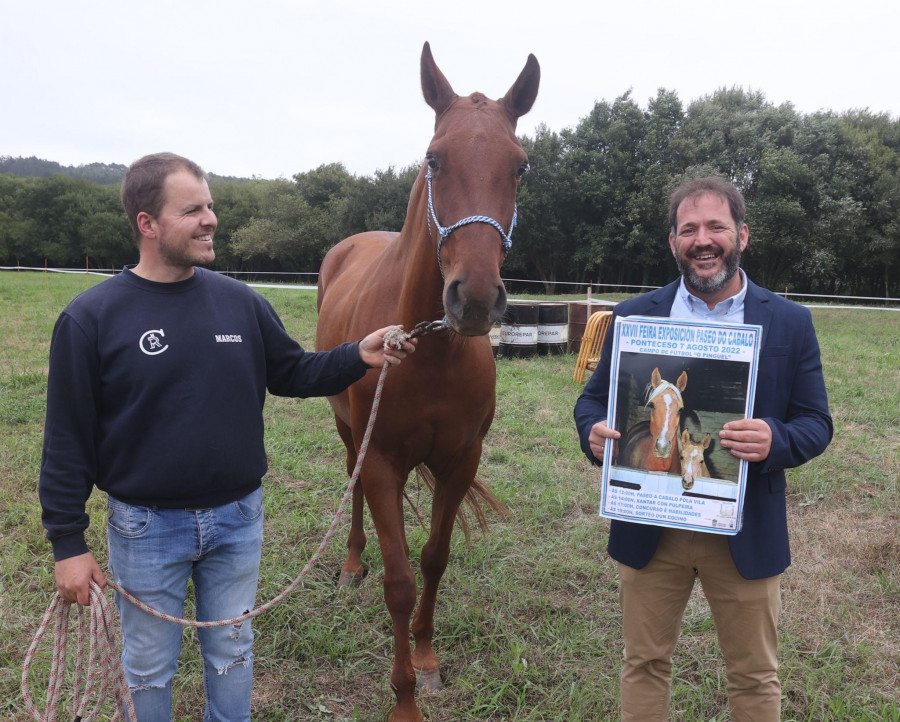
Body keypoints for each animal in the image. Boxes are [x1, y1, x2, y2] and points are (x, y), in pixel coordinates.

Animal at [316, 42, 536, 716]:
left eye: (520, 168)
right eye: (434, 160)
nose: (476, 298)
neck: (432, 351)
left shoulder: (459, 461)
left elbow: (435, 560)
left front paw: (428, 658)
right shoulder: (383, 462)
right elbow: (399, 581)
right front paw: (405, 701)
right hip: (349, 433)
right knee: (353, 488)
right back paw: (351, 564)